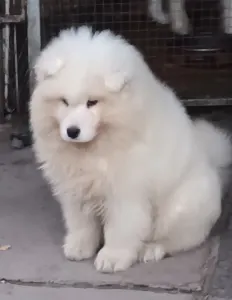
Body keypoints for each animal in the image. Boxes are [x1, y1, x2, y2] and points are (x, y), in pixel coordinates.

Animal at [29, 27, 231, 274]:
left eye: (92, 102)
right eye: (64, 102)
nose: (72, 131)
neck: (95, 147)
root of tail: (213, 164)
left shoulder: (126, 191)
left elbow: (121, 228)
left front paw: (112, 258)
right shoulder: (74, 187)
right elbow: (81, 222)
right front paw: (79, 248)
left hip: (182, 207)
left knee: (179, 239)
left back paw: (151, 250)